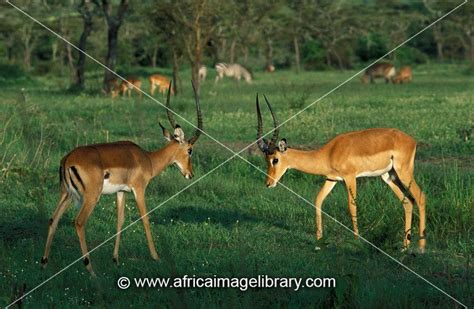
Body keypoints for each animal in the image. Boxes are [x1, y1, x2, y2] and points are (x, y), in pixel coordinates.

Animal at [40, 82, 202, 274]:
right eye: (190, 150)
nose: (190, 174)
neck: (147, 159)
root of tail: (68, 159)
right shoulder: (139, 190)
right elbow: (145, 218)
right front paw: (156, 257)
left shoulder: (121, 192)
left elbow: (120, 220)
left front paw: (115, 258)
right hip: (90, 197)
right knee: (78, 222)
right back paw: (91, 269)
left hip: (66, 194)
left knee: (53, 219)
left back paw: (44, 263)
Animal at [258, 95, 428, 251]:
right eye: (266, 159)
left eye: (275, 160)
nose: (268, 183)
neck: (329, 153)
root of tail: (411, 141)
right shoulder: (332, 179)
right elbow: (318, 200)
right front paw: (319, 241)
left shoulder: (350, 177)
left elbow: (351, 205)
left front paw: (356, 242)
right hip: (389, 176)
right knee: (407, 202)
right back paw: (405, 247)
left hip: (403, 172)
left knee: (420, 196)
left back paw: (421, 247)